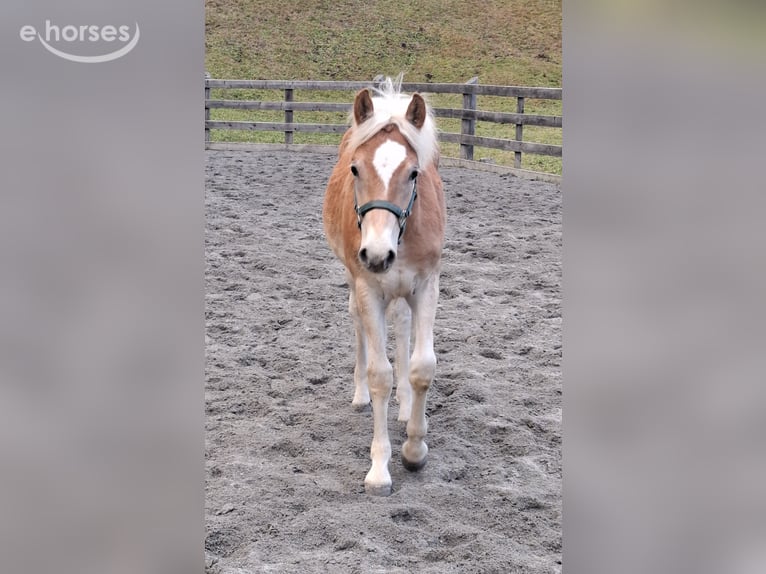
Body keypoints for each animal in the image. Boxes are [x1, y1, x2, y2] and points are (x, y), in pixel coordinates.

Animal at [323, 78, 446, 496]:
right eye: (355, 169)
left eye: (414, 173)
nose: (377, 254)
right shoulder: (368, 288)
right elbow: (381, 375)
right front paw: (379, 469)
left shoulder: (426, 285)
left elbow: (422, 366)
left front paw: (415, 449)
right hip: (354, 279)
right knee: (357, 324)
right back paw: (360, 395)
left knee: (403, 327)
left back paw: (406, 406)